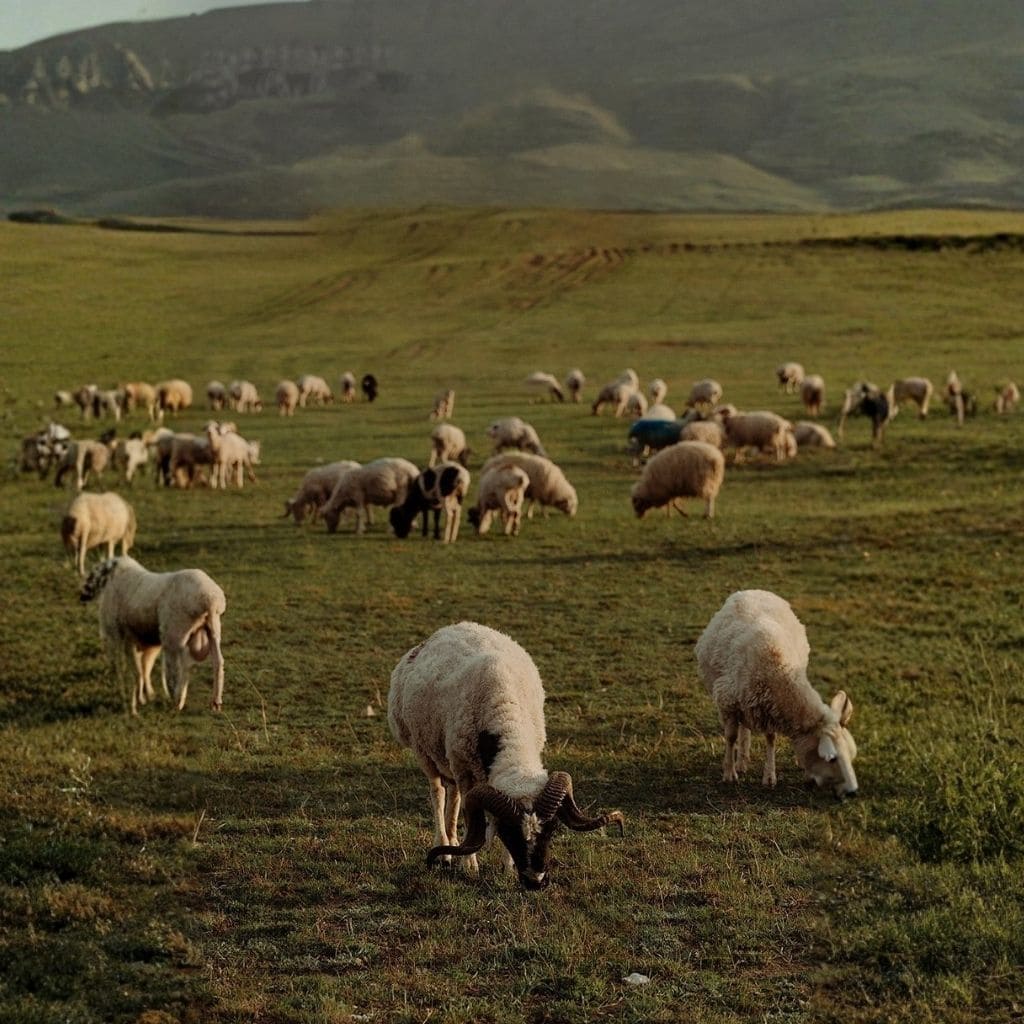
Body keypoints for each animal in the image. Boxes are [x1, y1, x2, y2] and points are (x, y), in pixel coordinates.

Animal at [80, 556, 226, 715]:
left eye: (93, 573)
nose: (82, 596)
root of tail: (210, 599)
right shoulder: (146, 641)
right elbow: (145, 666)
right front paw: (146, 694)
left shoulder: (118, 635)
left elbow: (130, 668)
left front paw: (133, 696)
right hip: (213, 629)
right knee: (218, 662)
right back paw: (215, 702)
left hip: (173, 633)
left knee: (178, 668)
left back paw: (176, 701)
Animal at [388, 621, 624, 888]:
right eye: (507, 832)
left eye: (552, 829)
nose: (535, 881)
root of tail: (452, 627)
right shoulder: (466, 771)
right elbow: (469, 818)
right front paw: (469, 866)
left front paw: (506, 868)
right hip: (426, 753)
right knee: (438, 794)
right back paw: (446, 850)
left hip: (451, 759)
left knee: (453, 797)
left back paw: (454, 843)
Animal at [694, 589, 859, 798]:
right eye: (832, 759)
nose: (853, 791)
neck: (776, 669)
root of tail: (754, 589)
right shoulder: (727, 701)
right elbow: (730, 737)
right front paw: (729, 773)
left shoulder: (768, 709)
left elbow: (770, 739)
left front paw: (769, 777)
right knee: (741, 728)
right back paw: (740, 763)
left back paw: (743, 760)